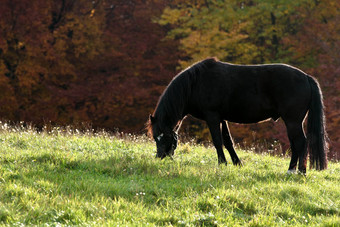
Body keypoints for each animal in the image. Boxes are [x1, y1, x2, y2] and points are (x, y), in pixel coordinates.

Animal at [146, 57, 326, 173]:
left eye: (161, 137)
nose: (159, 157)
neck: (195, 84)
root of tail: (306, 77)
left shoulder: (212, 116)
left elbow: (217, 141)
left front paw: (222, 163)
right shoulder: (222, 118)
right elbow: (228, 141)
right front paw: (236, 163)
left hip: (292, 121)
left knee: (301, 142)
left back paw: (300, 171)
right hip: (291, 122)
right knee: (295, 144)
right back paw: (291, 170)